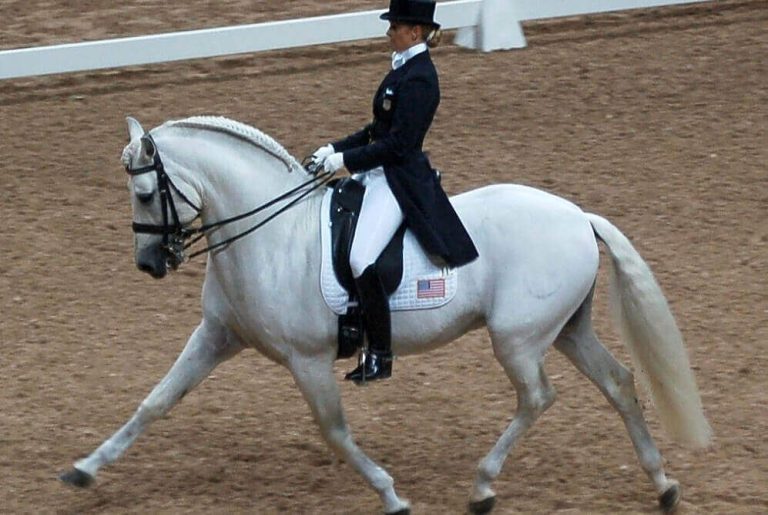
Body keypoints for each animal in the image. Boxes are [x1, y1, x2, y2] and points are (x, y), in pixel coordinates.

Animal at [60, 115, 711, 514]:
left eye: (146, 194)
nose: (150, 263)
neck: (271, 235)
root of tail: (578, 215)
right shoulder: (217, 336)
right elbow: (154, 402)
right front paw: (85, 470)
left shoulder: (308, 360)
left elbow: (334, 431)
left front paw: (392, 496)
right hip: (565, 330)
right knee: (618, 383)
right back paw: (663, 485)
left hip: (518, 338)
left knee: (537, 398)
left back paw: (482, 488)